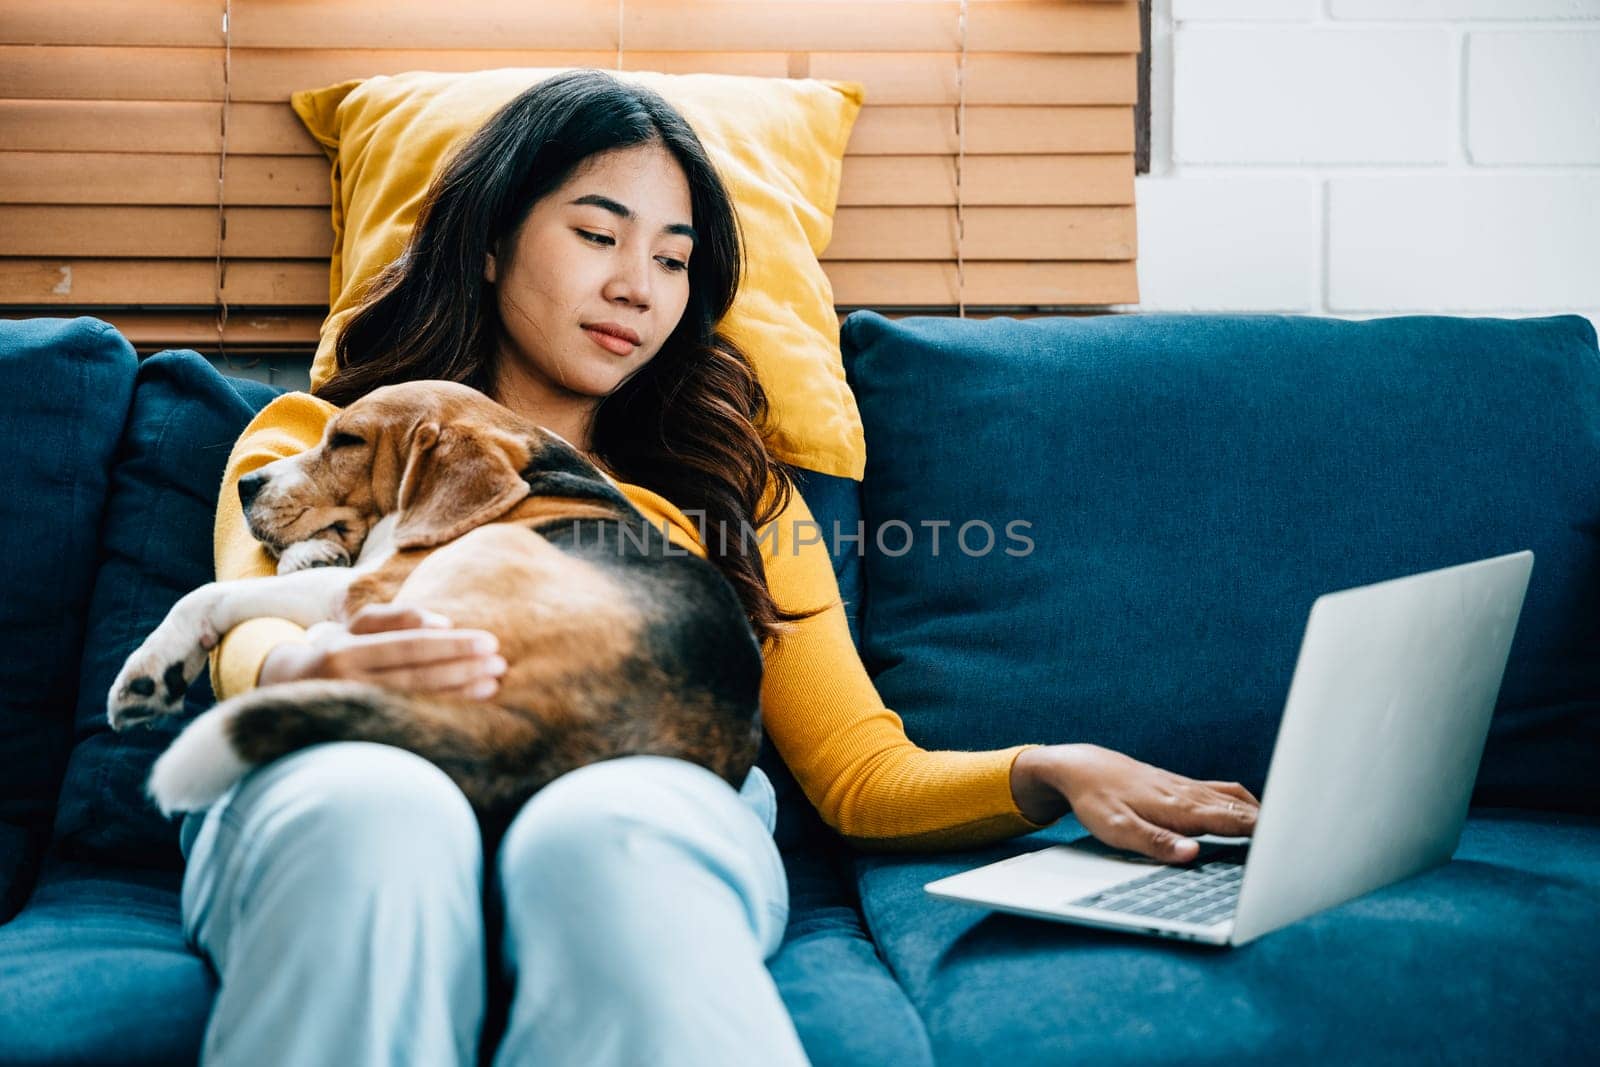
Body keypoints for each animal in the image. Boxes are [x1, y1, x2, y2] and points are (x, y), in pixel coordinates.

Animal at [109, 379, 764, 831]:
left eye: (346, 441)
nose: (245, 485)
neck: (534, 464)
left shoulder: (372, 584)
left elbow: (210, 594)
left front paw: (152, 667)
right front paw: (312, 552)